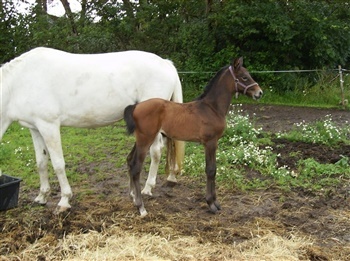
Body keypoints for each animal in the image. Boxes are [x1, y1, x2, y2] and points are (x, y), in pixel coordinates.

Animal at [0, 47, 185, 211]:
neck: (19, 83)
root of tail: (166, 64)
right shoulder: (36, 128)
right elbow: (41, 162)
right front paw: (42, 196)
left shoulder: (49, 126)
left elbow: (58, 164)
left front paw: (64, 200)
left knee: (156, 151)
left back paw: (147, 188)